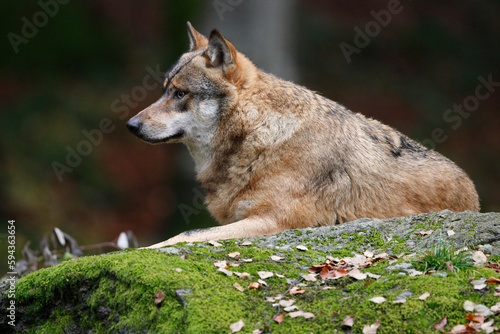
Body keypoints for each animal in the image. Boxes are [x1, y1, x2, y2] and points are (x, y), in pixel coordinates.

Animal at [126, 22, 480, 249]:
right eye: (164, 90)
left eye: (180, 93)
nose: (131, 125)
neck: (262, 135)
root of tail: (475, 197)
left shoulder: (273, 221)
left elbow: (183, 236)